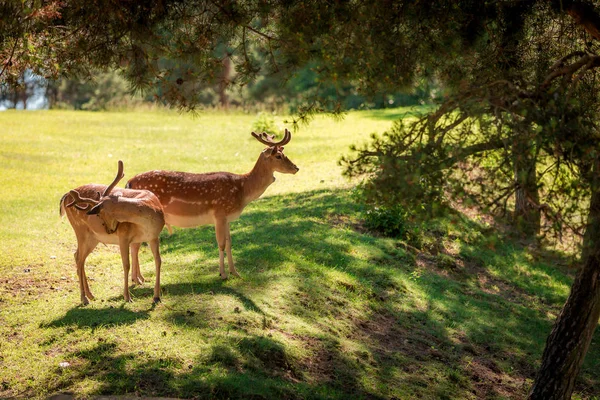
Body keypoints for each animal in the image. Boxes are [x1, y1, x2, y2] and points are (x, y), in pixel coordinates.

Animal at [60, 159, 165, 304]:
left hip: (93, 238)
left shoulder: (153, 237)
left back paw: (90, 295)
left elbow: (158, 261)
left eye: (99, 214)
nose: (109, 229)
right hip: (79, 229)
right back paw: (84, 298)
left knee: (77, 255)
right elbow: (126, 264)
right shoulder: (123, 236)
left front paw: (156, 296)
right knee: (80, 259)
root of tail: (66, 197)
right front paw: (127, 297)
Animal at [129, 128, 302, 278]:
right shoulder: (219, 213)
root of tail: (129, 182)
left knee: (134, 244)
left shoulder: (227, 218)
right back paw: (138, 279)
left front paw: (235, 272)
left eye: (283, 153)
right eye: (278, 156)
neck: (242, 190)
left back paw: (139, 279)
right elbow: (221, 244)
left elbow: (230, 243)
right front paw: (223, 274)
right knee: (135, 244)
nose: (296, 168)